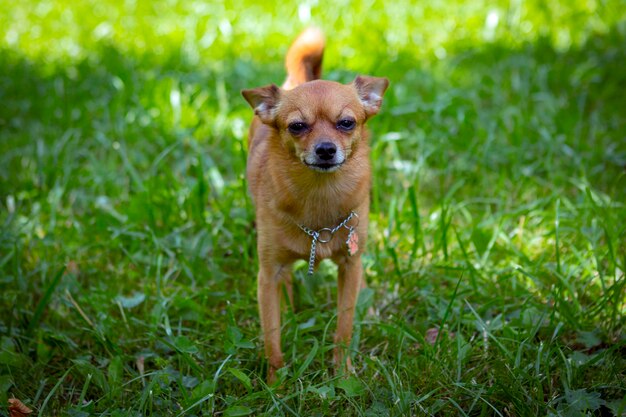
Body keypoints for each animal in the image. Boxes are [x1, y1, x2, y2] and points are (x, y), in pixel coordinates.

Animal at [241, 27, 388, 382]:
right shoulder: (267, 273)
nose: (325, 149)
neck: (319, 196)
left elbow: (344, 327)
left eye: (347, 123)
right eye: (297, 126)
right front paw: (275, 384)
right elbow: (272, 337)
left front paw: (343, 374)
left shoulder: (350, 266)